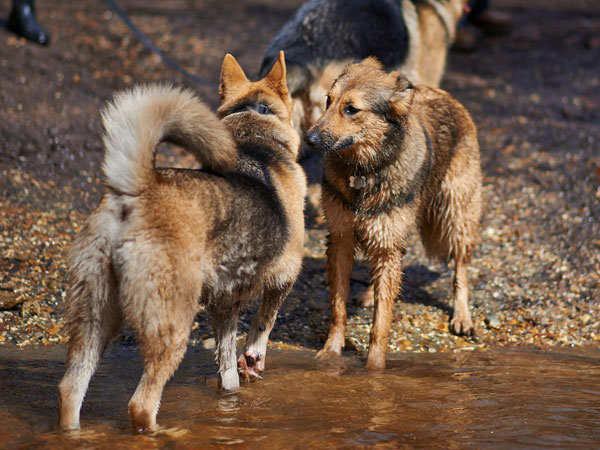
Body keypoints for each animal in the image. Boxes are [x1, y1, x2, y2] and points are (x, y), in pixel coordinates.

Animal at [58, 50, 308, 432]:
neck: (254, 126)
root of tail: (136, 192)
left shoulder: (224, 303)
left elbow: (226, 367)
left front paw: (232, 396)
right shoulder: (283, 277)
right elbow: (263, 324)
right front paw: (253, 359)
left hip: (95, 317)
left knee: (71, 388)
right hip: (171, 325)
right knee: (141, 404)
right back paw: (166, 432)